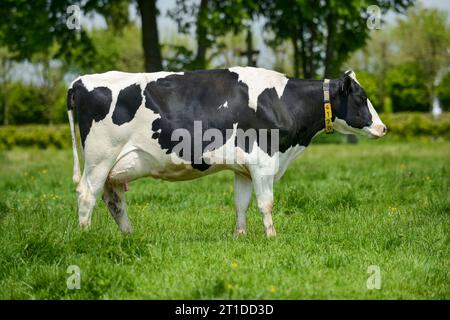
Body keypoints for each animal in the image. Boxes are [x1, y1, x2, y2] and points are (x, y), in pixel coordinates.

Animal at [67, 67, 386, 238]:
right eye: (361, 97)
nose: (383, 128)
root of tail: (79, 80)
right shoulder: (263, 161)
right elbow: (266, 203)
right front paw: (272, 237)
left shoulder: (243, 167)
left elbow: (241, 203)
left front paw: (240, 236)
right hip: (99, 159)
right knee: (86, 194)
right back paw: (85, 237)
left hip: (113, 168)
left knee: (114, 201)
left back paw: (129, 236)